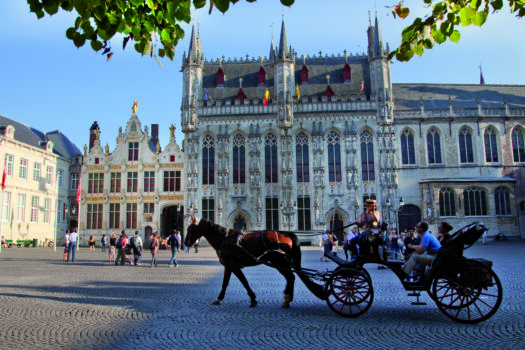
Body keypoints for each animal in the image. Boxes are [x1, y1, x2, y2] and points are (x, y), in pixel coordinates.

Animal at [183, 217, 324, 308]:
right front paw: (219, 298)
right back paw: (288, 299)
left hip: (278, 260)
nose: (185, 243)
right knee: (292, 277)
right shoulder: (228, 266)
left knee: (291, 276)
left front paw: (253, 299)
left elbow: (244, 281)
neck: (224, 239)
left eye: (190, 229)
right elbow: (225, 283)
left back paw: (286, 298)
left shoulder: (234, 265)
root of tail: (287, 233)